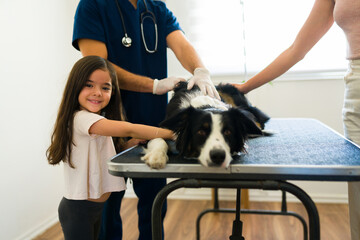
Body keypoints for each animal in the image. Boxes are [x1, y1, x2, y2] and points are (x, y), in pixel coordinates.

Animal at [141, 82, 270, 169]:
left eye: (228, 132)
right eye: (201, 132)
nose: (218, 156)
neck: (205, 104)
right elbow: (158, 139)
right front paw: (157, 156)